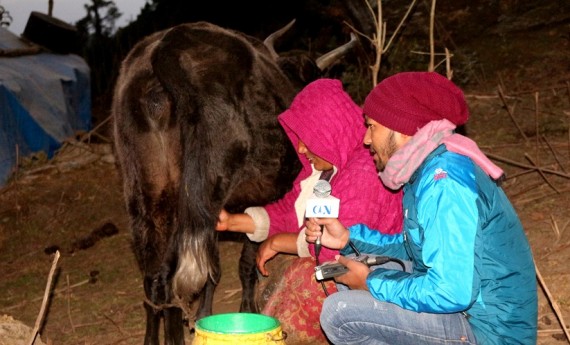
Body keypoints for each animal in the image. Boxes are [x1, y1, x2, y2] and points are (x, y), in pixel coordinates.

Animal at [110, 20, 352, 342]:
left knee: (154, 281)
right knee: (171, 279)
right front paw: (248, 307)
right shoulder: (261, 194)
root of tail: (168, 45)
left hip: (149, 198)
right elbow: (247, 258)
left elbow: (214, 271)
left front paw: (205, 313)